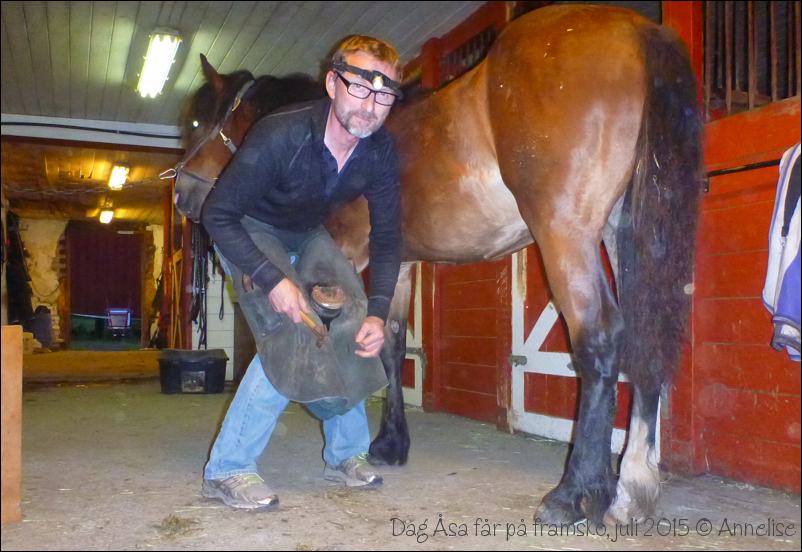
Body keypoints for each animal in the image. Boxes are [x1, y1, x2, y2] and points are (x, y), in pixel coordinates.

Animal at [173, 4, 702, 526]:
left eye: (197, 125)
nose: (183, 196)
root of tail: (636, 30)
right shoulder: (401, 262)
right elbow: (390, 342)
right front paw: (390, 444)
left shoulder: (348, 253)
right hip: (623, 235)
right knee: (645, 340)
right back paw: (631, 492)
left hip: (566, 235)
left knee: (600, 338)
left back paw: (573, 495)